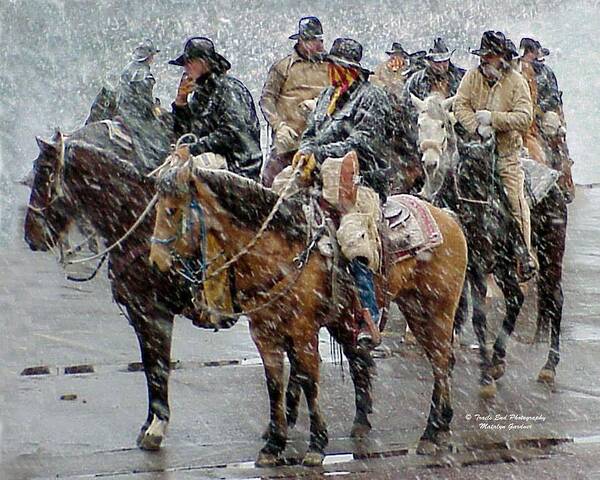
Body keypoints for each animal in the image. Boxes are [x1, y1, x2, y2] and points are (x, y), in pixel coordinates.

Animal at [150, 164, 468, 464]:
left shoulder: (303, 334)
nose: (156, 262)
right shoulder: (264, 336)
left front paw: (316, 445)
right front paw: (273, 445)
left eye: (172, 210)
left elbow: (309, 382)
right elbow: (275, 385)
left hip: (436, 309)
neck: (280, 255)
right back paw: (430, 426)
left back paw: (432, 432)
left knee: (440, 362)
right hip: (408, 309)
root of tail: (447, 217)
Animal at [412, 93, 568, 394]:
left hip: (550, 255)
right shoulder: (463, 269)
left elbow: (479, 317)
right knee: (516, 298)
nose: (430, 162)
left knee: (554, 299)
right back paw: (499, 359)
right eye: (420, 124)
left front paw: (484, 377)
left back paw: (548, 367)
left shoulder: (478, 268)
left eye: (443, 125)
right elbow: (461, 311)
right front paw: (457, 360)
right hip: (505, 267)